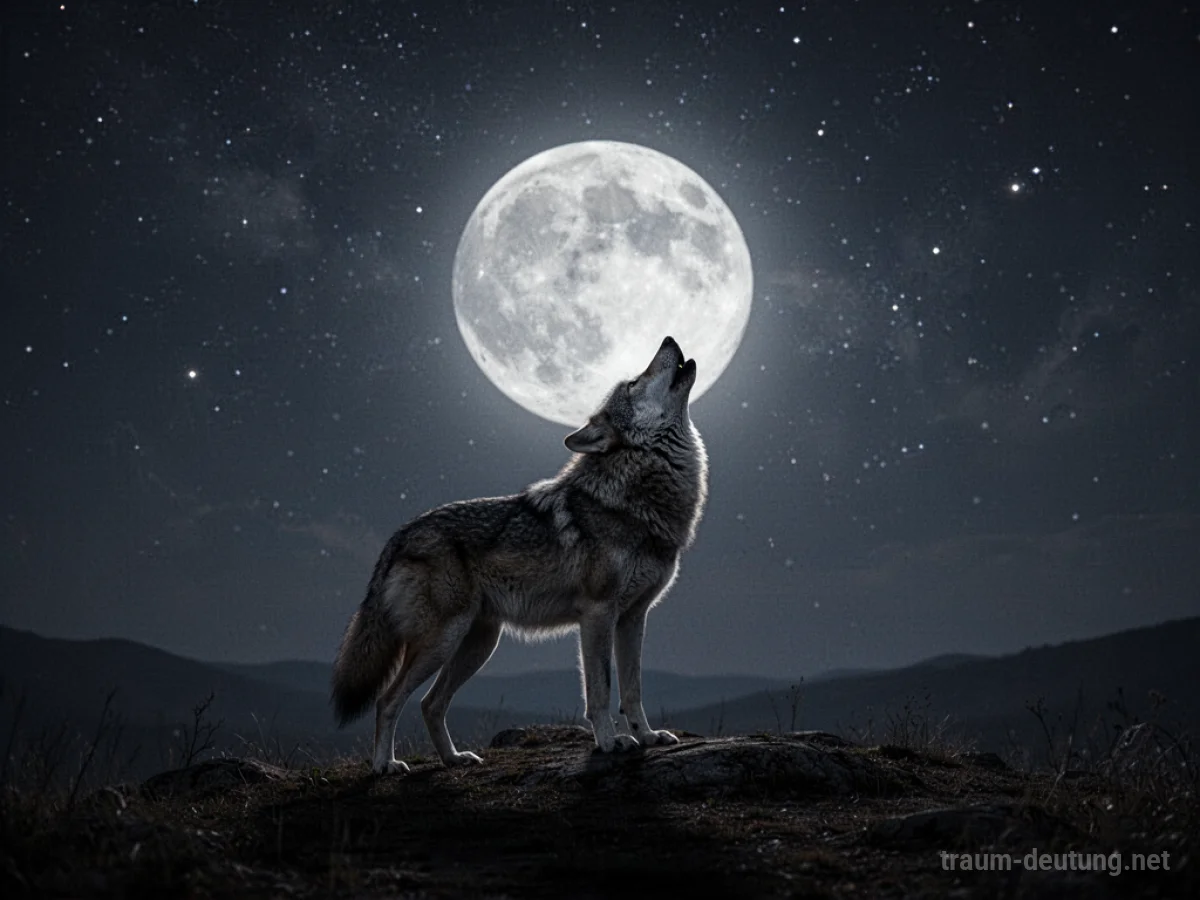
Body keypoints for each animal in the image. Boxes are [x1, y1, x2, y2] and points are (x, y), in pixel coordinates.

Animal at [330, 336, 708, 774]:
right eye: (634, 383)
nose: (669, 339)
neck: (641, 496)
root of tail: (400, 534)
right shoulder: (598, 614)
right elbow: (600, 689)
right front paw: (610, 742)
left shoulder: (633, 617)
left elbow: (633, 689)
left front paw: (647, 736)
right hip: (443, 640)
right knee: (388, 699)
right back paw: (384, 765)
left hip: (478, 643)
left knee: (430, 704)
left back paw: (454, 759)